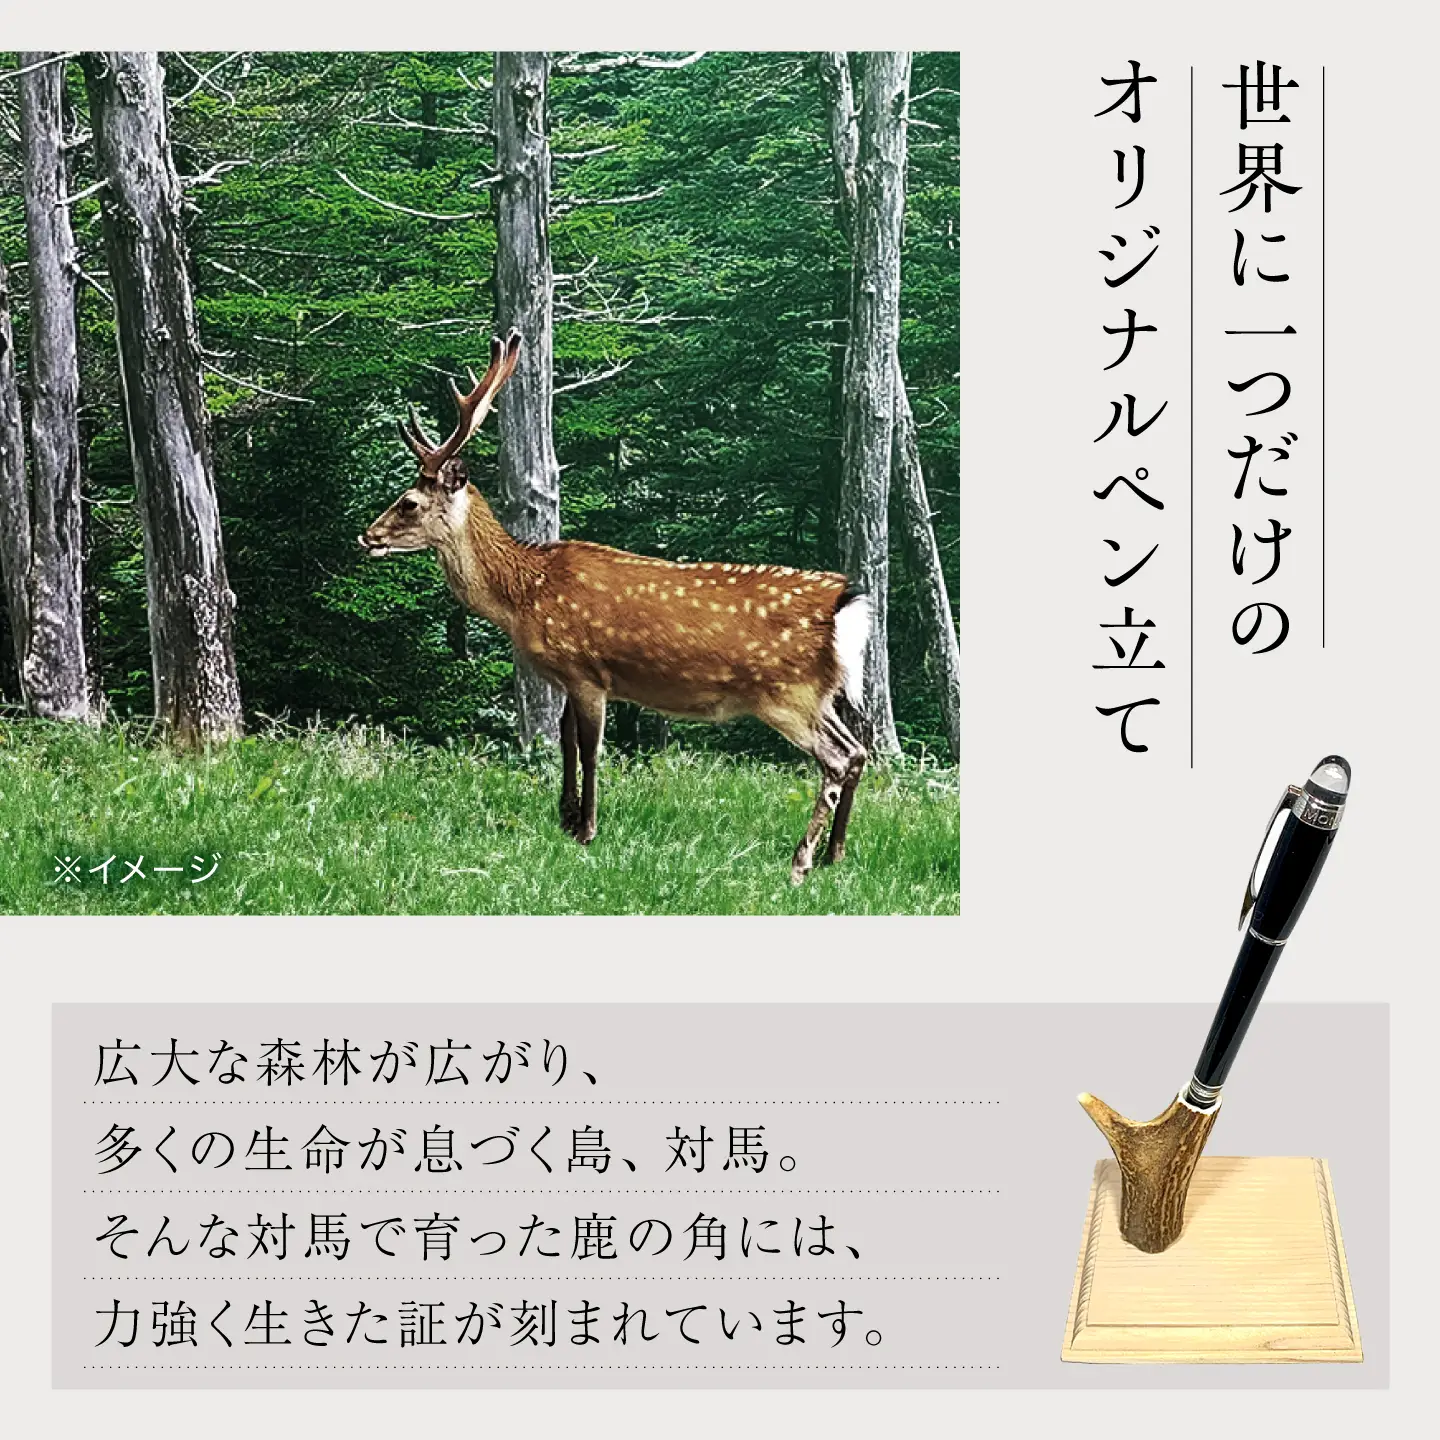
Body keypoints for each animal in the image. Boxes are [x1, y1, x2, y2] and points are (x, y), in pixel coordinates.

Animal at [359, 331, 871, 883]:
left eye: (408, 502)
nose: (367, 536)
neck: (525, 592)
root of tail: (845, 606)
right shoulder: (566, 676)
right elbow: (564, 741)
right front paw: (563, 819)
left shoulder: (589, 671)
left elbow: (589, 749)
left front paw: (586, 830)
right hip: (819, 694)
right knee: (859, 750)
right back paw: (836, 855)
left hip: (785, 694)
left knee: (837, 759)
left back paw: (801, 860)